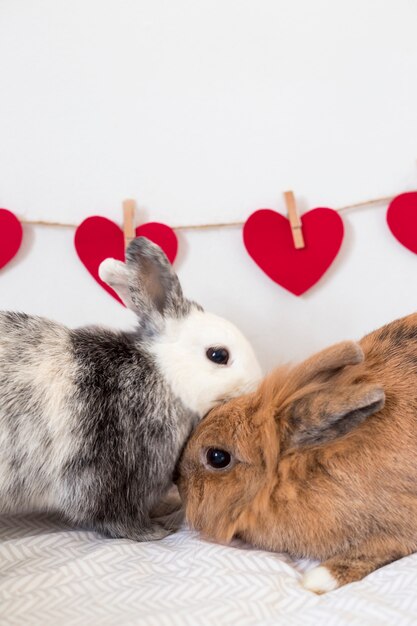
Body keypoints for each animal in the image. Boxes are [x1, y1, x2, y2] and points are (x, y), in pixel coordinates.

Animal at [0, 236, 260, 540]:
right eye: (218, 355)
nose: (256, 385)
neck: (164, 374)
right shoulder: (109, 477)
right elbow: (113, 516)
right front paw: (153, 532)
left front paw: (163, 510)